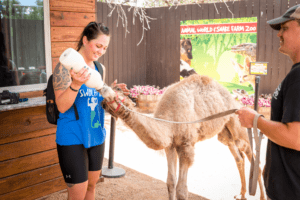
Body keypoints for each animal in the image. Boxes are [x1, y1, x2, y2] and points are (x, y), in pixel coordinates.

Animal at [100, 74, 264, 199]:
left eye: (116, 90)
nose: (102, 101)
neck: (169, 121)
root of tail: (236, 102)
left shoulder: (186, 146)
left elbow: (182, 190)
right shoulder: (171, 145)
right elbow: (170, 183)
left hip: (239, 126)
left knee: (252, 156)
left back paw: (261, 196)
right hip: (224, 133)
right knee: (239, 158)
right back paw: (242, 194)